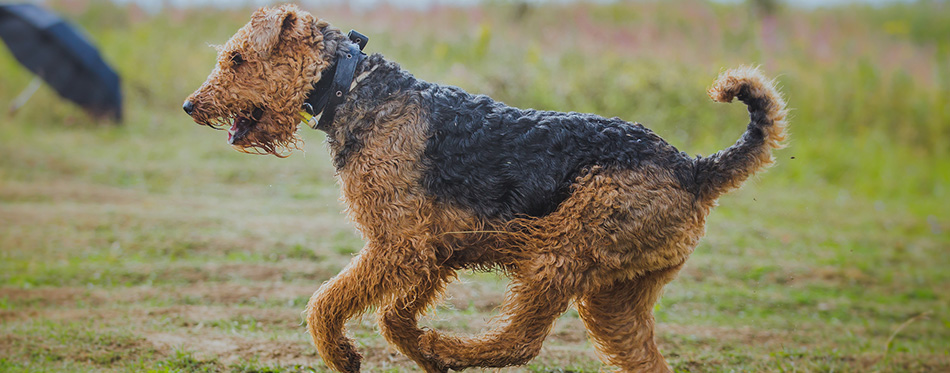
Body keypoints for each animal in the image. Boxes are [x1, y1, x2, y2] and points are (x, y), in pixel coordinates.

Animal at [184, 3, 788, 372]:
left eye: (237, 57)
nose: (191, 106)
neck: (350, 86)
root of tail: (694, 168)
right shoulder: (435, 251)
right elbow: (392, 316)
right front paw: (411, 348)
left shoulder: (399, 246)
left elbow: (326, 303)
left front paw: (347, 355)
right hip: (616, 299)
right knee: (636, 359)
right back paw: (438, 351)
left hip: (558, 256)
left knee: (519, 342)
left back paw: (446, 347)